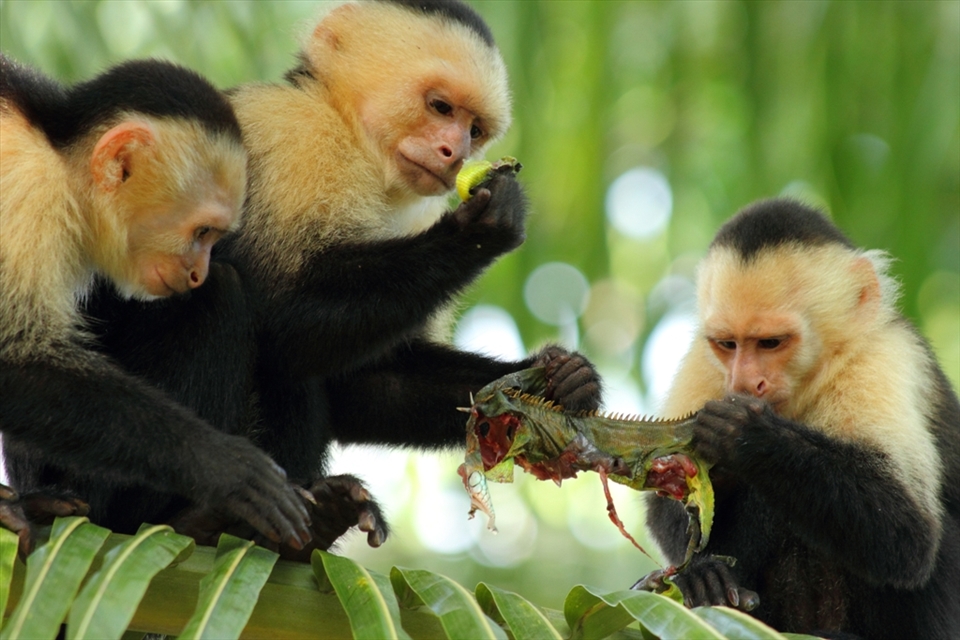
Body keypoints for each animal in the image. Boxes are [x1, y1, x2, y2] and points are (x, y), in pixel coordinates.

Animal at [0, 54, 314, 554]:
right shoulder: (27, 196)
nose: (197, 272)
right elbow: (15, 358)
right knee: (223, 294)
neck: (56, 157)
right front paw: (220, 465)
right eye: (203, 232)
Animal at [81, 0, 602, 556]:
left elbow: (365, 382)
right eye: (441, 108)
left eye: (475, 129)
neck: (356, 141)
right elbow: (278, 318)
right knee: (227, 300)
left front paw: (561, 383)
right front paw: (481, 226)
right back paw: (203, 519)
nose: (456, 153)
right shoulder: (293, 134)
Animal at [640, 198, 960, 639]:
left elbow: (909, 534)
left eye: (771, 343)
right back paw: (714, 589)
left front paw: (747, 435)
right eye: (728, 344)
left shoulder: (886, 355)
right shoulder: (704, 363)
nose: (745, 382)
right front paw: (699, 571)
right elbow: (667, 492)